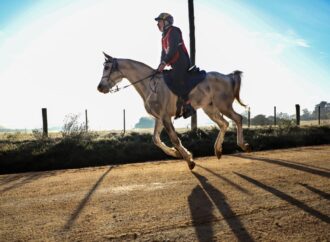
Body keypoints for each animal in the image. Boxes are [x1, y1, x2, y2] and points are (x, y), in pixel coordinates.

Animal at [97, 52, 250, 170]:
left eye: (107, 67)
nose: (99, 87)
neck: (151, 84)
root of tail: (228, 76)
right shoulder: (159, 118)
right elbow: (156, 139)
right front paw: (175, 153)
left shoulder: (165, 117)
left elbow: (174, 139)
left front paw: (189, 160)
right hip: (210, 109)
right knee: (224, 124)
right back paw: (218, 150)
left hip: (223, 106)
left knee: (237, 119)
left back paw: (243, 145)